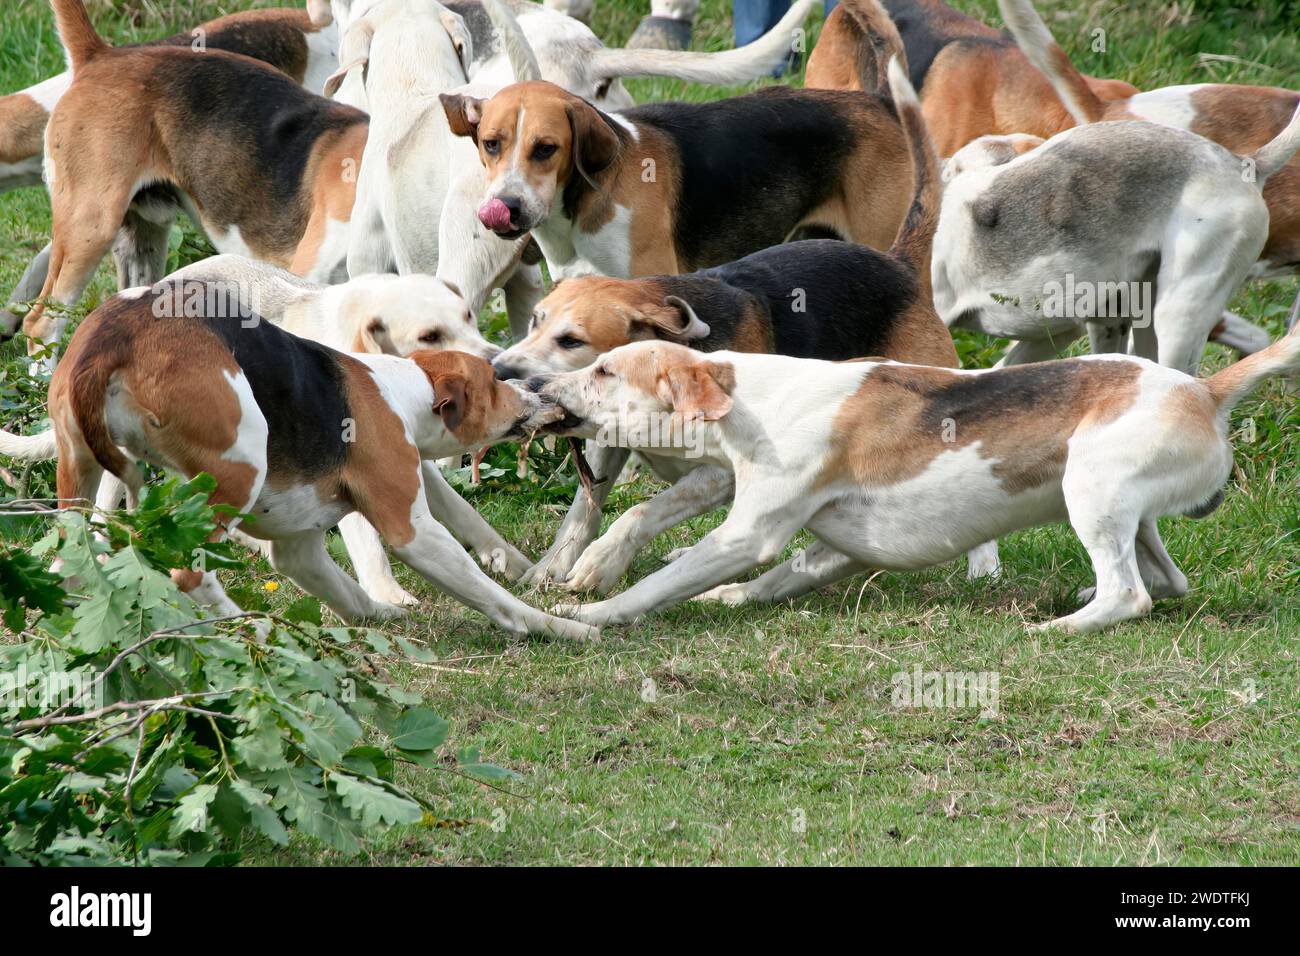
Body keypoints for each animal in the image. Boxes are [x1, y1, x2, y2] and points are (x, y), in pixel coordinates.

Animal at [26, 283, 595, 642]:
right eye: (495, 382)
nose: (533, 390)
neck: (398, 389)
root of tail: (113, 338)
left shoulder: (298, 550)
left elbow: (350, 595)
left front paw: (382, 612)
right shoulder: (415, 533)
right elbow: (496, 599)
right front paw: (563, 628)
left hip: (79, 478)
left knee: (69, 561)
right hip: (235, 471)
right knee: (189, 574)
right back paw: (247, 626)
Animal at [538, 329, 1300, 634]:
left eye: (604, 369)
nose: (541, 388)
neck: (751, 396)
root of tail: (1203, 389)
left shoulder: (746, 535)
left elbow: (657, 585)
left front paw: (593, 614)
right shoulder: (834, 546)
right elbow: (774, 579)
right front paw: (728, 598)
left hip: (1093, 491)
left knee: (1129, 595)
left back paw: (1061, 625)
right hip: (1126, 512)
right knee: (1168, 582)